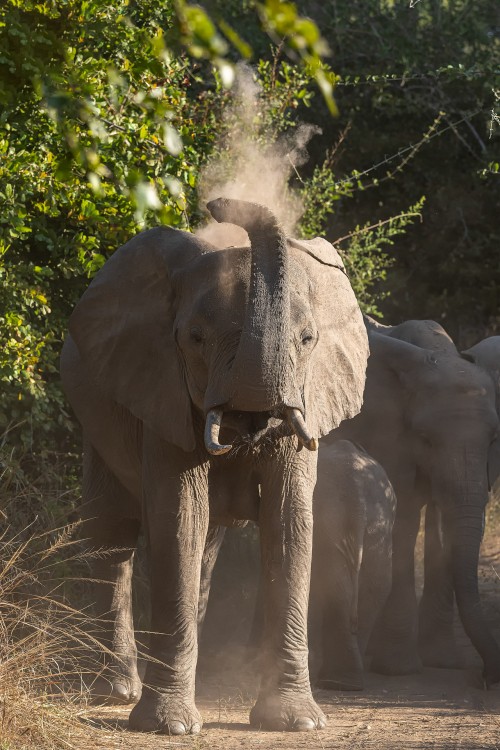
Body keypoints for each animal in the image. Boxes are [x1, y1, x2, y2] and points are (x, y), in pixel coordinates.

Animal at [60, 195, 370, 736]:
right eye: (195, 338)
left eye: (308, 339)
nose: (222, 203)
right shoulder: (162, 389)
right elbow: (179, 518)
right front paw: (169, 727)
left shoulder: (306, 397)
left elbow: (289, 522)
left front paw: (297, 723)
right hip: (96, 410)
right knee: (112, 531)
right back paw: (115, 692)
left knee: (204, 546)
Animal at [310, 440, 396, 692]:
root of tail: (356, 491)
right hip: (377, 523)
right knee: (376, 586)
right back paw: (346, 681)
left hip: (328, 520)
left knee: (332, 588)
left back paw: (336, 682)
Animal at [332, 318, 500, 688]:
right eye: (425, 439)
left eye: (493, 439)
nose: (486, 677)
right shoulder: (389, 436)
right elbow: (405, 521)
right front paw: (399, 669)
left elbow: (444, 523)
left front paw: (444, 663)